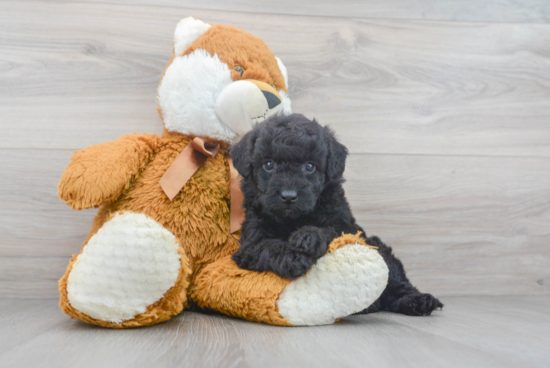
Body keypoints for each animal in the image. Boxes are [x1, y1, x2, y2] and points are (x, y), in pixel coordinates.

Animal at [232, 113, 444, 314]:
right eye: (269, 165)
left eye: (309, 166)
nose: (289, 196)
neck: (292, 220)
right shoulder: (249, 243)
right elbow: (268, 245)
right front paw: (293, 257)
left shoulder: (343, 224)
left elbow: (329, 231)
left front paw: (308, 237)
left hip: (377, 247)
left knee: (396, 281)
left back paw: (417, 301)